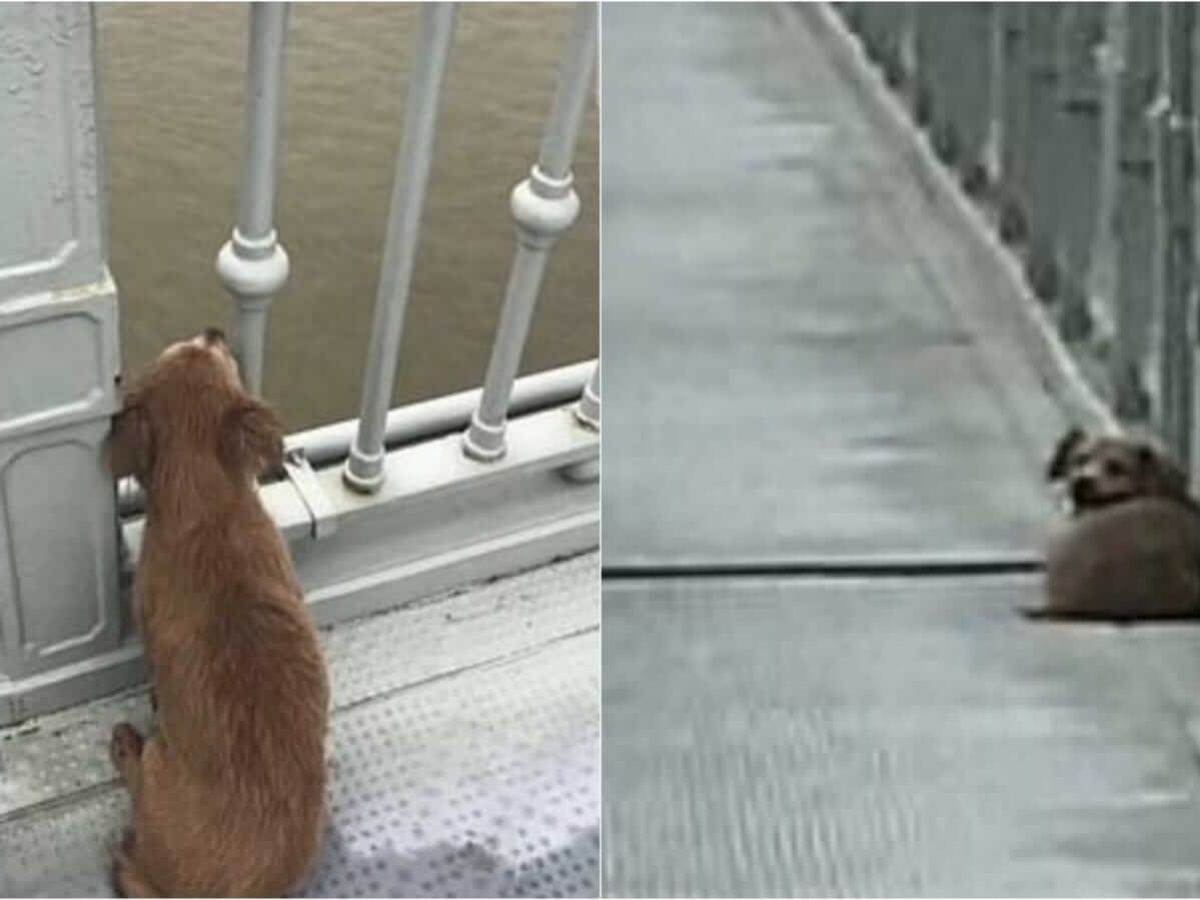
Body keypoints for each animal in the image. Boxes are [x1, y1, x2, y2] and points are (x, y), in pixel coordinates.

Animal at [103, 328, 326, 897]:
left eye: (213, 351)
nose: (214, 330)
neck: (205, 506)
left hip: (158, 771)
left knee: (138, 780)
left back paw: (125, 747)